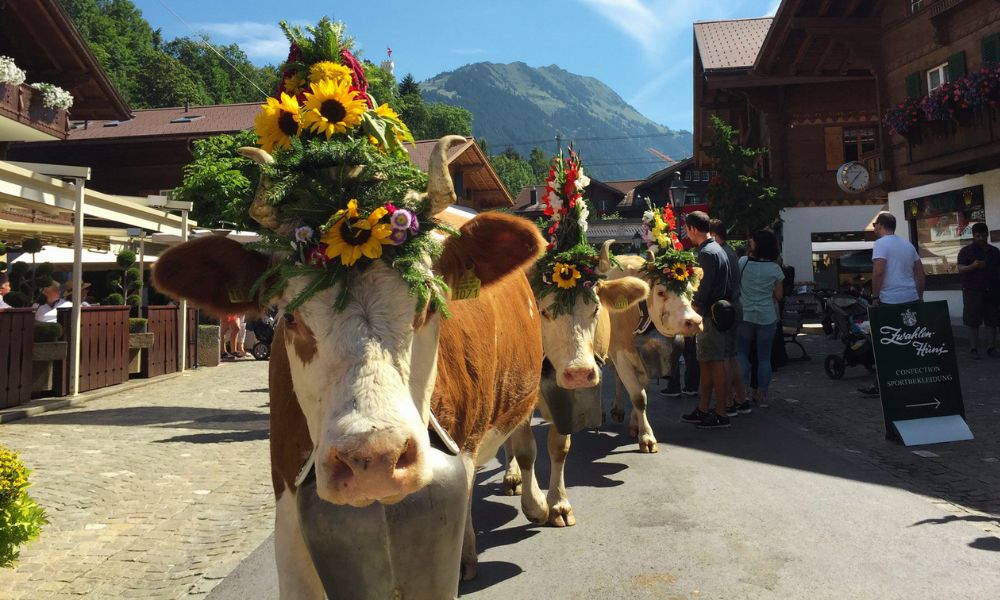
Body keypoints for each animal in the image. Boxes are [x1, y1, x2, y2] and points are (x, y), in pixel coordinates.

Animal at [151, 16, 548, 596]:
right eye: (290, 317)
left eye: (428, 306)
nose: (374, 459)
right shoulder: (291, 521)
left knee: (524, 443)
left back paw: (540, 504)